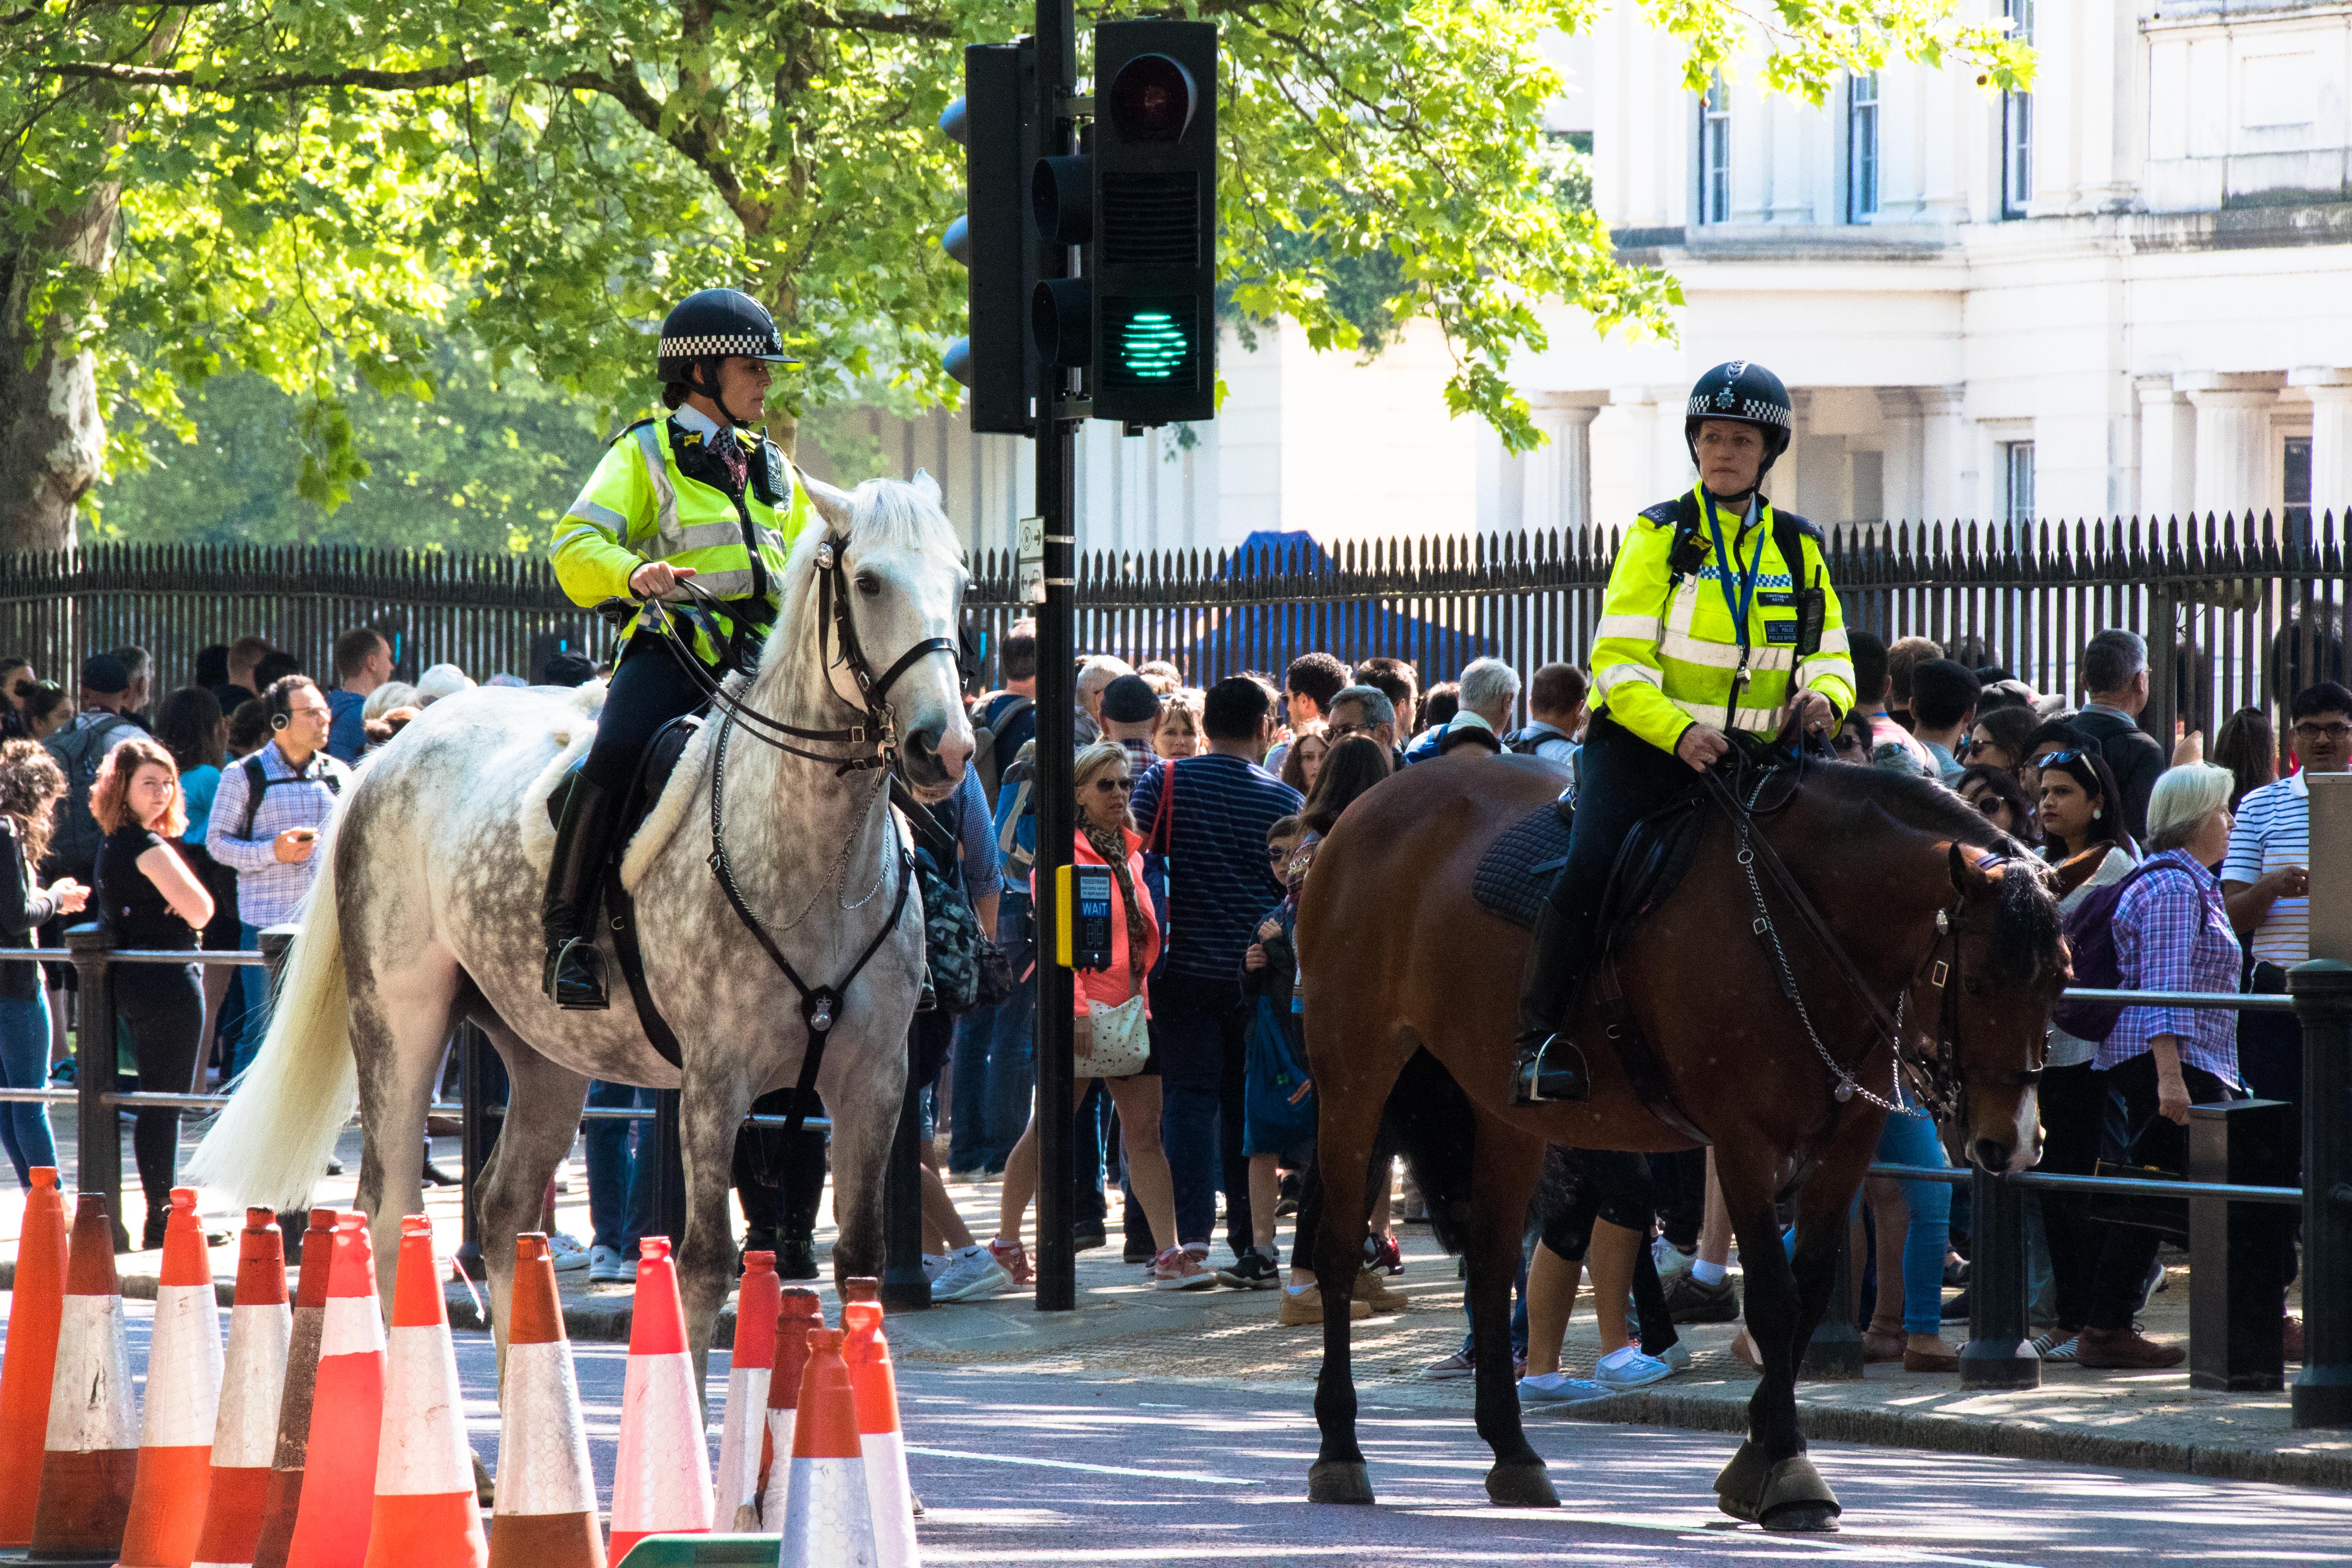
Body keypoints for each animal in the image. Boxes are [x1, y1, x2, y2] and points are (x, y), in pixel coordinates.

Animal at [181, 475, 974, 1372]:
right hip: (399, 1024)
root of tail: (387, 755)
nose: (943, 748)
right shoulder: (714, 1081)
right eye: (868, 582)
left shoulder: (875, 1080)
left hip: (546, 1055)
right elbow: (705, 1265)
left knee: (500, 1208)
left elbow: (861, 1265)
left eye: (959, 584)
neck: (816, 867)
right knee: (389, 1213)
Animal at [1298, 747, 2069, 1533]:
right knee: (1337, 1252)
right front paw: (1787, 1469)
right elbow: (1774, 1299)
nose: (2010, 1142)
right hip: (1355, 1078)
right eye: (1977, 983)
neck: (1793, 925)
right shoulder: (1743, 1146)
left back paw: (1513, 1452)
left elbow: (1811, 1290)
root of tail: (1365, 810)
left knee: (1489, 1264)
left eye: (2061, 981)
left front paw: (1759, 1457)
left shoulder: (1845, 1145)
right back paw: (1340, 1451)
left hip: (1503, 1113)